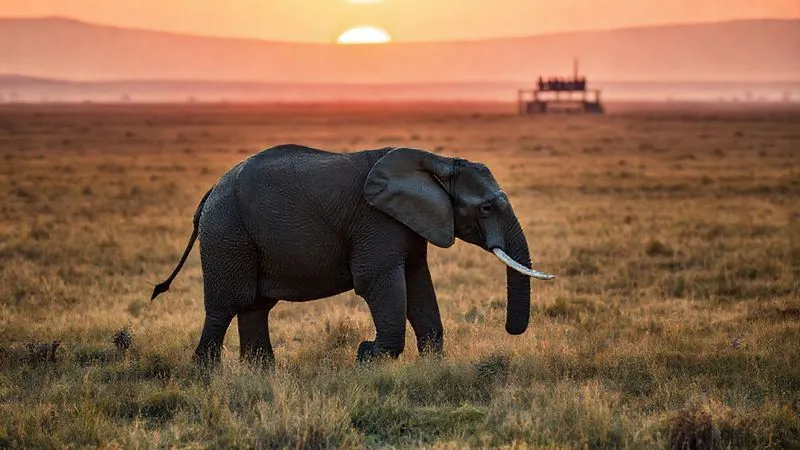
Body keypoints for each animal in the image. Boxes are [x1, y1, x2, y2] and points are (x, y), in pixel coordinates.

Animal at [151, 145, 554, 365]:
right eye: (485, 209)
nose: (510, 330)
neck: (437, 162)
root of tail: (210, 191)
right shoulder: (375, 221)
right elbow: (378, 282)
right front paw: (367, 355)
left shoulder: (410, 221)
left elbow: (417, 282)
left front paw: (431, 367)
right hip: (228, 234)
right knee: (227, 306)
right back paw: (207, 377)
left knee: (255, 307)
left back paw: (261, 377)